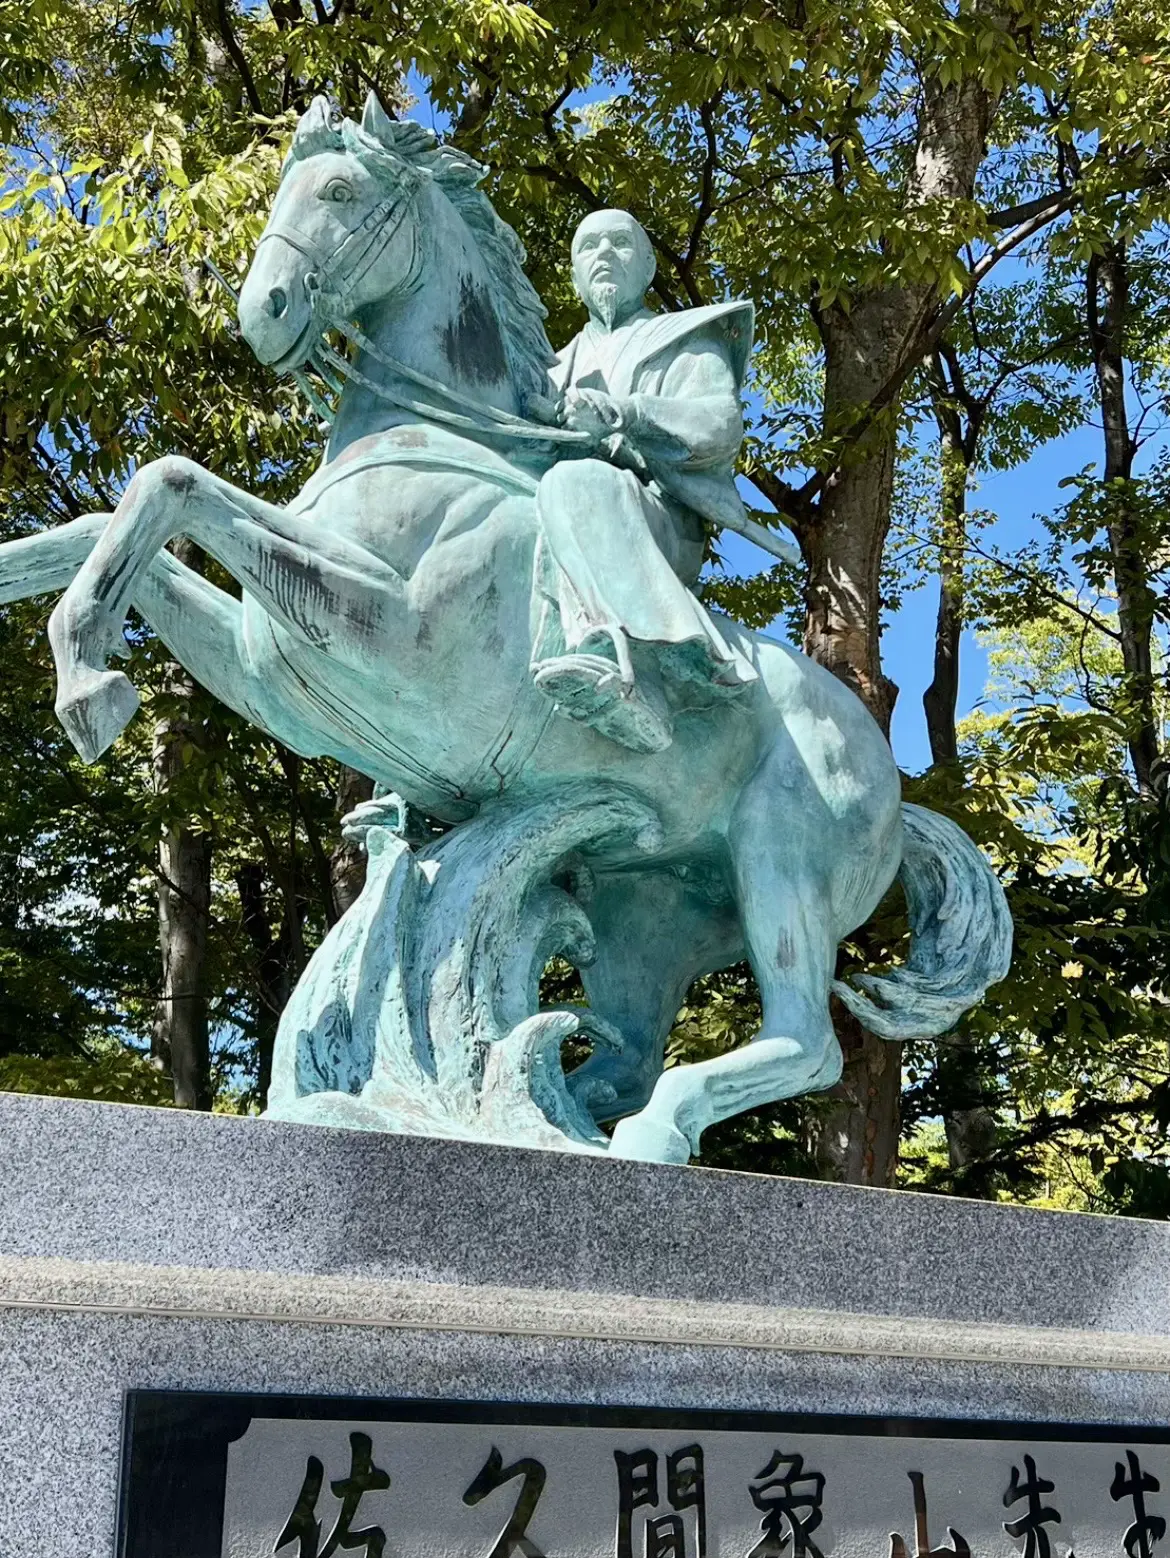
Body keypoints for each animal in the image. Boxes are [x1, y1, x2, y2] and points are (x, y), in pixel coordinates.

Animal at [0, 94, 1009, 1159]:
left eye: (341, 190)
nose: (263, 310)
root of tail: (897, 791)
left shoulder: (386, 633)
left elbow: (172, 480)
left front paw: (86, 678)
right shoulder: (268, 670)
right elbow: (107, 524)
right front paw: (46, 610)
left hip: (780, 866)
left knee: (805, 1042)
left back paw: (647, 1131)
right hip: (650, 913)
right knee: (627, 1046)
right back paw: (550, 1104)